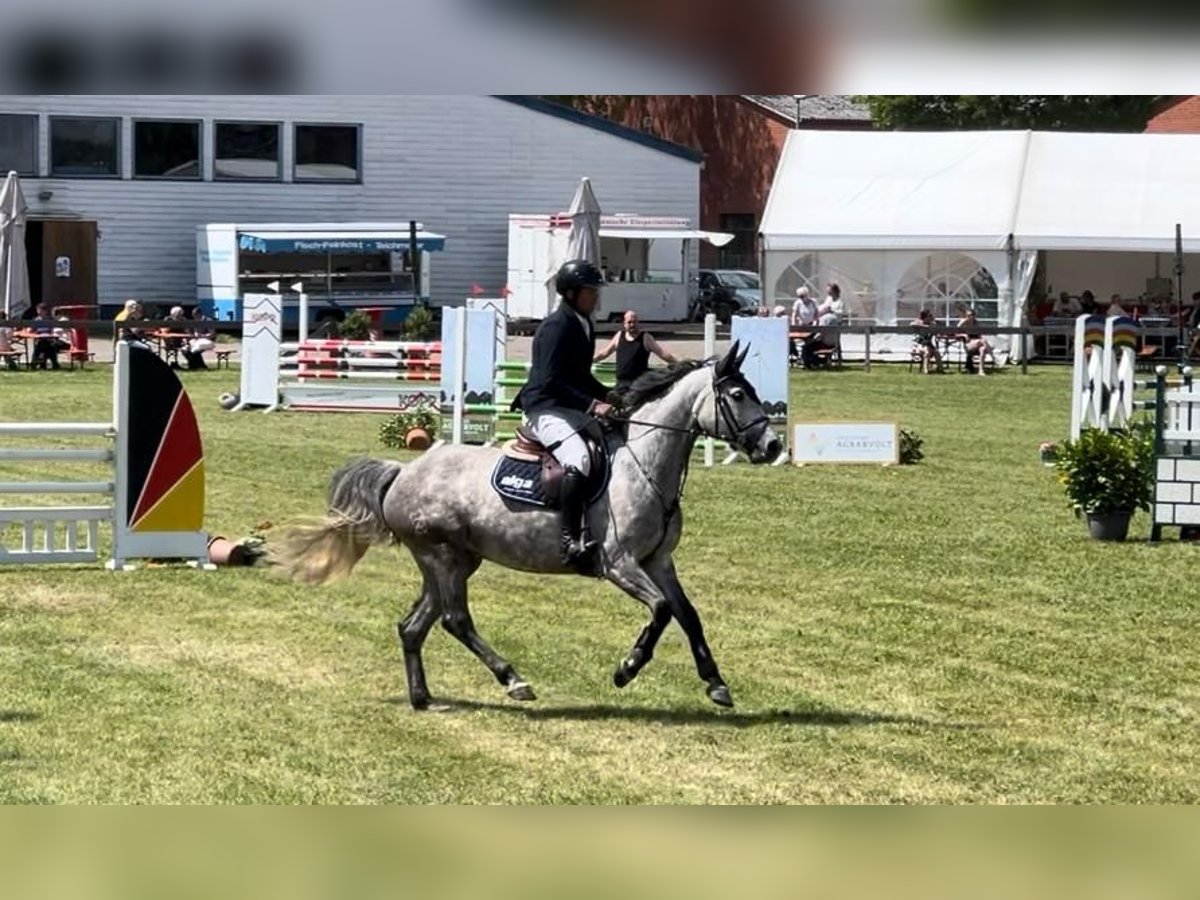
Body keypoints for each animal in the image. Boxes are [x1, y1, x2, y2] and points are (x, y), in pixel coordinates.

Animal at [270, 340, 787, 710]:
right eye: (737, 395)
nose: (773, 446)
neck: (644, 463)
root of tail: (403, 472)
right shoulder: (619, 564)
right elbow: (660, 611)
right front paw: (627, 667)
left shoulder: (659, 561)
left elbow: (687, 614)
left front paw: (716, 683)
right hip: (441, 555)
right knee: (456, 620)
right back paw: (513, 680)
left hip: (454, 560)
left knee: (414, 626)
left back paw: (423, 698)